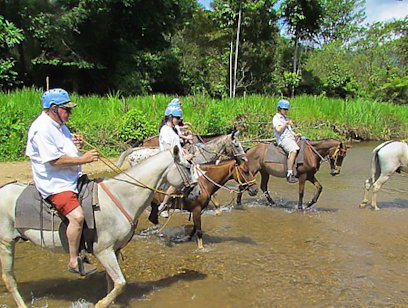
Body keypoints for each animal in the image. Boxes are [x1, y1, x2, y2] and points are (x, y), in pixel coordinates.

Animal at [0, 147, 193, 308]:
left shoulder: (114, 250)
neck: (120, 198)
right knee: (9, 279)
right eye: (187, 166)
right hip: (6, 243)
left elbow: (112, 283)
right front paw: (100, 303)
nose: (194, 191)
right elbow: (120, 283)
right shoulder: (103, 251)